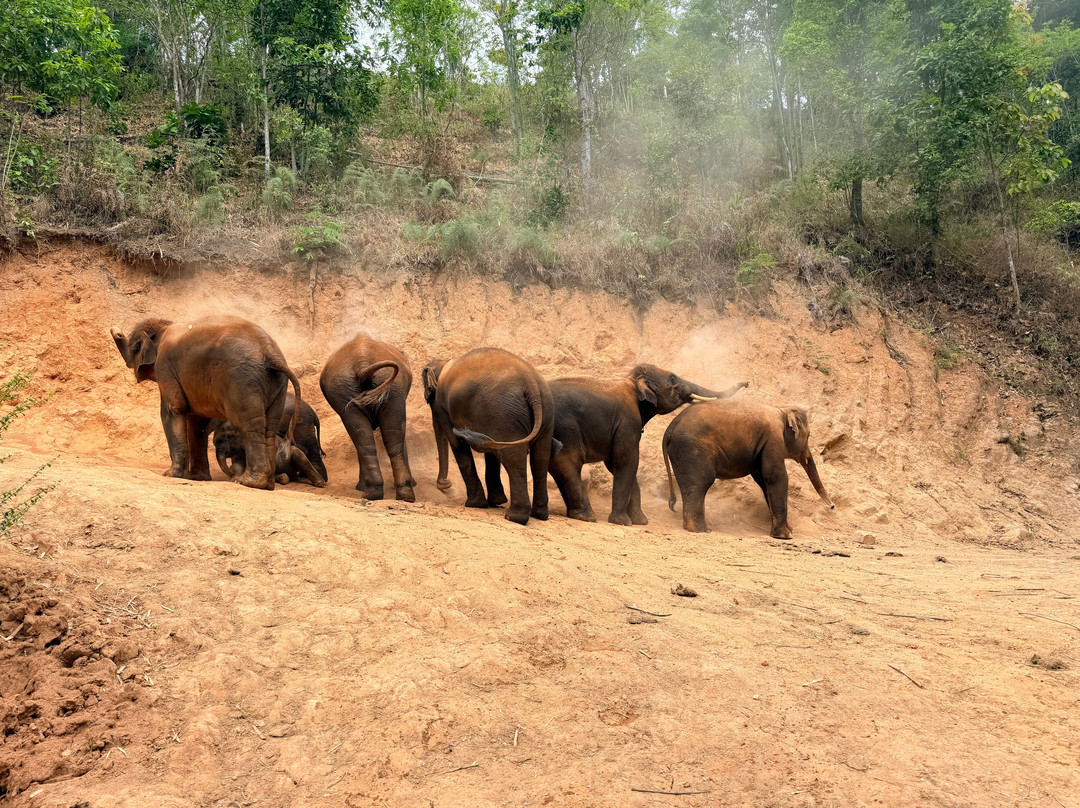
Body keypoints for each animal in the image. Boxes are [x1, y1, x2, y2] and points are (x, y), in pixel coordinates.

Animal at [110, 315, 302, 490]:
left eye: (134, 347)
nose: (116, 330)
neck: (165, 326)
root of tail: (269, 352)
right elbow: (198, 422)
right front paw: (198, 478)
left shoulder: (165, 368)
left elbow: (173, 410)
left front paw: (170, 475)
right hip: (276, 384)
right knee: (270, 428)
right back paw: (268, 484)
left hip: (242, 381)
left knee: (250, 426)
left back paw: (249, 482)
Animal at [320, 335, 416, 501]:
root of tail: (363, 364)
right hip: (367, 388)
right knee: (385, 438)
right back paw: (393, 494)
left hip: (378, 386)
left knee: (369, 438)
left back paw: (376, 493)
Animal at [422, 347, 555, 525]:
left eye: (429, 398)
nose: (446, 484)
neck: (444, 362)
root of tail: (532, 385)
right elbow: (492, 454)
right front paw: (496, 502)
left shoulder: (444, 408)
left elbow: (457, 444)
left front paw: (475, 504)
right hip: (544, 414)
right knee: (540, 459)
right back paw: (539, 515)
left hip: (505, 414)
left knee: (514, 459)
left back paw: (514, 517)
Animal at [549, 365, 748, 525]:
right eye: (673, 379)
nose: (746, 383)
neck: (633, 382)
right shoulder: (628, 421)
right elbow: (626, 460)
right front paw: (623, 522)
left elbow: (617, 464)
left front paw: (640, 521)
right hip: (566, 426)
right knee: (567, 461)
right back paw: (587, 517)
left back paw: (575, 514)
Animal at [662, 400, 834, 538]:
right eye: (809, 435)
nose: (832, 506)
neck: (782, 410)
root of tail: (669, 430)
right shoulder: (773, 439)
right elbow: (775, 476)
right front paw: (785, 536)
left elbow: (763, 480)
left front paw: (787, 531)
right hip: (692, 450)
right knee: (700, 484)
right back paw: (702, 530)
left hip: (681, 454)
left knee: (689, 487)